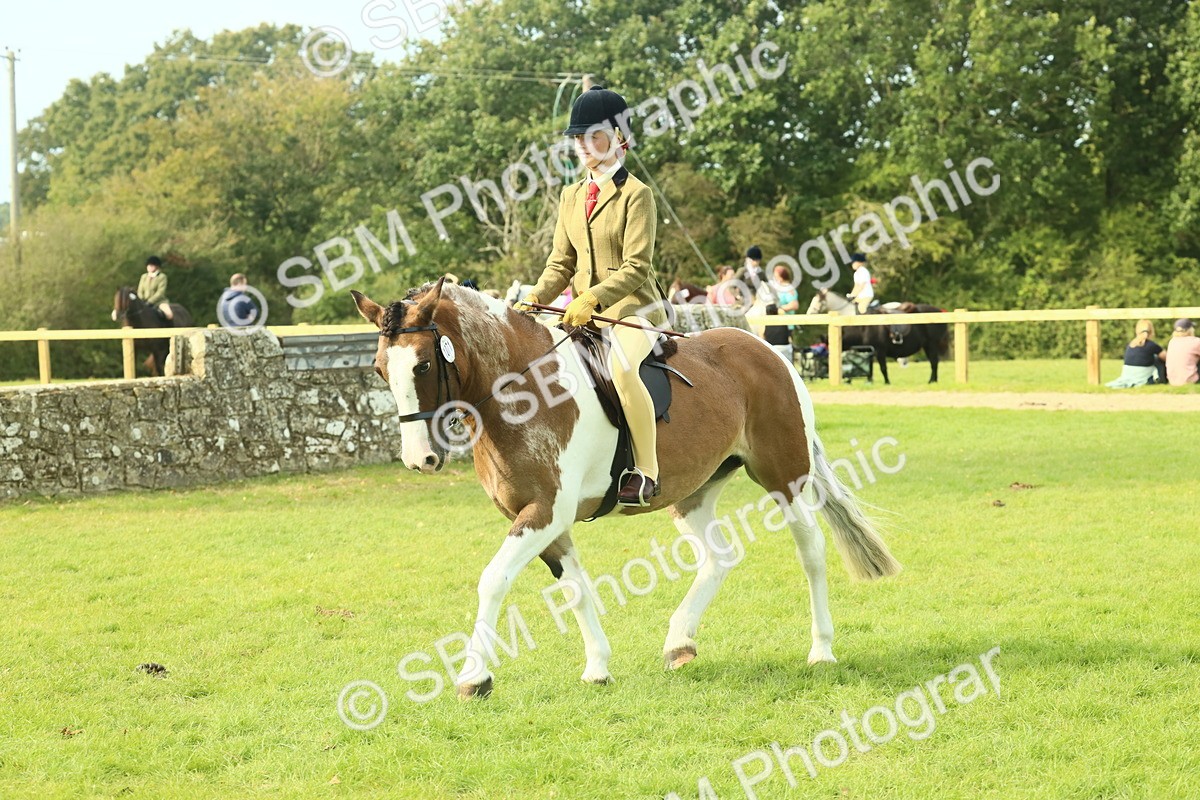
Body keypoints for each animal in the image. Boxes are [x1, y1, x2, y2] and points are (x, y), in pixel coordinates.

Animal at [352, 277, 901, 699]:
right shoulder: (544, 520)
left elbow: (494, 579)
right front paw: (597, 667)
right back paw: (680, 642)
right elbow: (574, 588)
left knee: (811, 549)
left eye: (424, 365)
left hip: (784, 477)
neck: (521, 390)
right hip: (692, 494)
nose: (419, 460)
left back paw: (821, 649)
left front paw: (473, 677)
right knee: (719, 557)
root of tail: (768, 350)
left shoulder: (544, 512)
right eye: (380, 369)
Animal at [807, 290, 949, 384]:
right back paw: (933, 380)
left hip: (931, 344)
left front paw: (886, 382)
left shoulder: (879, 350)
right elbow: (868, 368)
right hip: (927, 346)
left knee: (934, 362)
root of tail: (939, 311)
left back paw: (932, 380)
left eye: (818, 301)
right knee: (933, 362)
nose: (809, 313)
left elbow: (882, 368)